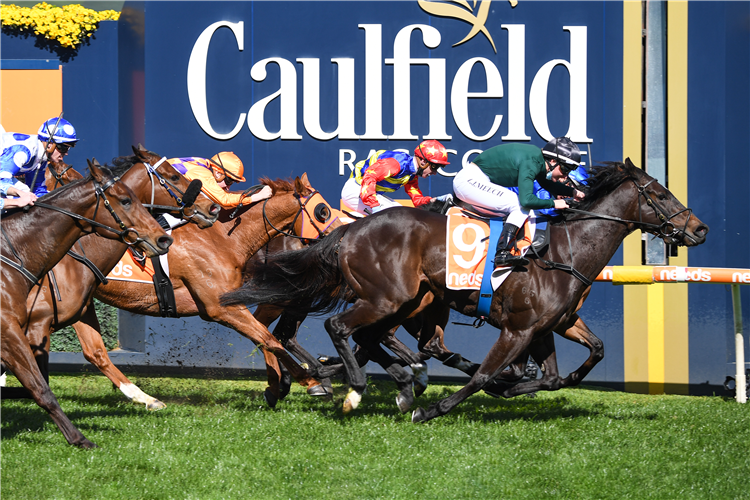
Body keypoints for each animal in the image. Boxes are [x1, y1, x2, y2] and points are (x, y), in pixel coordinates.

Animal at [36, 174, 338, 408]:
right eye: (323, 211)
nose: (340, 239)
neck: (224, 239)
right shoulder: (219, 307)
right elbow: (270, 339)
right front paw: (309, 379)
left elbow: (266, 339)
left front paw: (278, 387)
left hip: (81, 305)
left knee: (95, 352)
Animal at [222, 161, 712, 422]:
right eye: (660, 194)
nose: (700, 229)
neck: (565, 250)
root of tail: (351, 230)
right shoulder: (517, 329)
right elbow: (482, 376)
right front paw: (439, 406)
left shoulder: (550, 324)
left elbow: (578, 360)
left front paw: (528, 383)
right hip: (387, 298)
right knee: (339, 329)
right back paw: (349, 386)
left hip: (403, 300)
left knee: (364, 337)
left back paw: (380, 381)